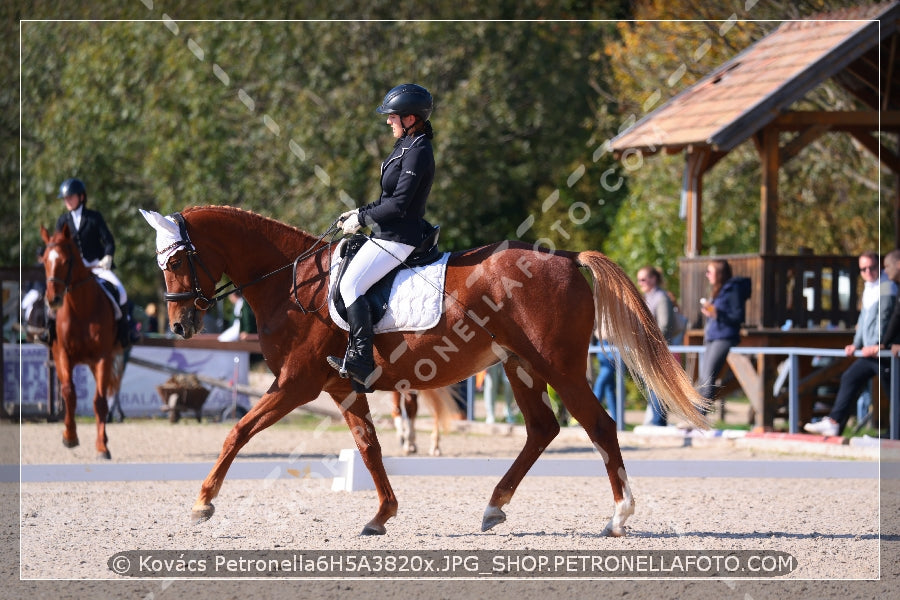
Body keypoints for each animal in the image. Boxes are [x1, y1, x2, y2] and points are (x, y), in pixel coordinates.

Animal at [40, 225, 124, 460]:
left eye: (66, 261)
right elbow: (69, 393)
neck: (81, 309)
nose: (53, 299)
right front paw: (69, 437)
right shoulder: (62, 355)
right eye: (44, 261)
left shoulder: (103, 358)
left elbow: (100, 401)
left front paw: (102, 447)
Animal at [139, 206, 712, 536]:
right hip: (521, 366)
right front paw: (381, 515)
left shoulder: (296, 384)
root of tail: (567, 257)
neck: (292, 282)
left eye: (177, 262)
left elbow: (238, 430)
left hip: (560, 367)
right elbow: (369, 448)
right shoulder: (341, 386)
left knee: (599, 427)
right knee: (542, 429)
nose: (181, 323)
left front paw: (202, 503)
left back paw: (618, 516)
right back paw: (493, 507)